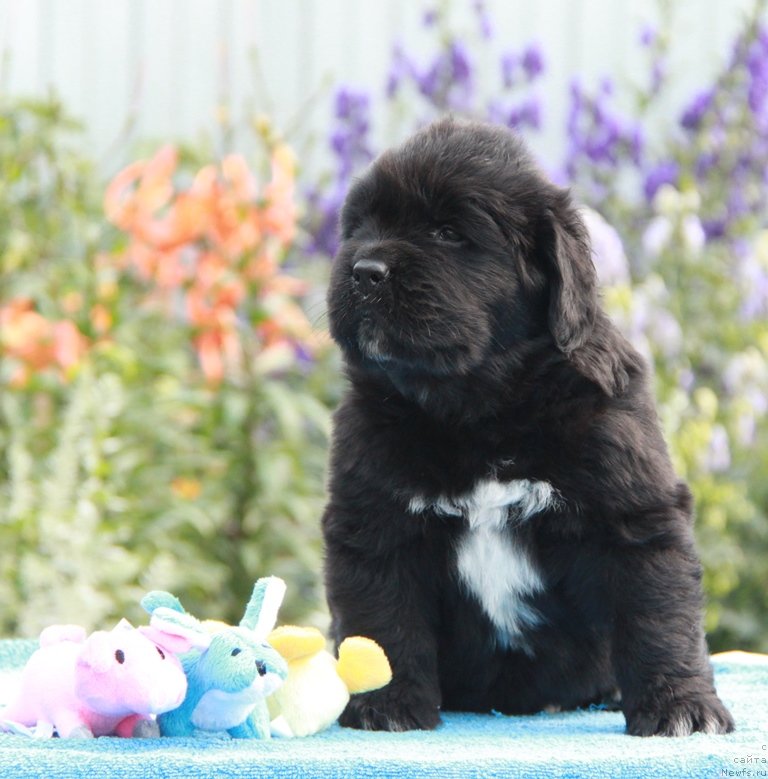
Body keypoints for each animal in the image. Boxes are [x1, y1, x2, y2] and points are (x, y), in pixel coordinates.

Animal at [320, 117, 736, 736]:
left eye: (447, 232)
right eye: (361, 228)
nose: (363, 270)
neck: (483, 409)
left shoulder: (631, 513)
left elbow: (659, 617)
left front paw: (681, 706)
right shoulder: (374, 519)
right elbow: (381, 624)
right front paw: (385, 706)